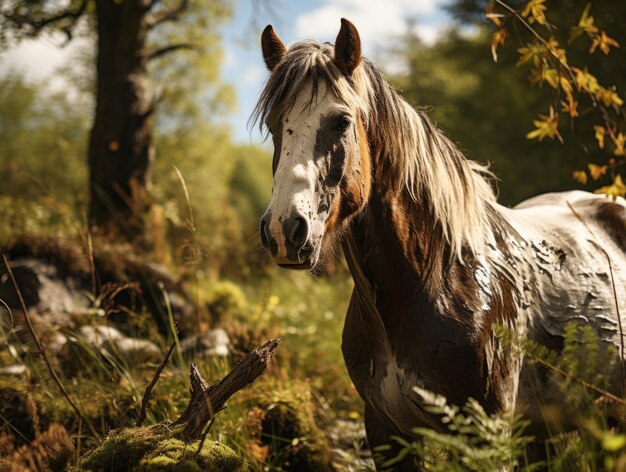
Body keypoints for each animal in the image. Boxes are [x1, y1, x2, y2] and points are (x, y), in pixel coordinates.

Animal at [250, 17, 624, 468]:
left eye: (340, 121)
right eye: (273, 124)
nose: (285, 231)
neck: (439, 278)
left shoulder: (487, 438)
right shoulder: (386, 434)